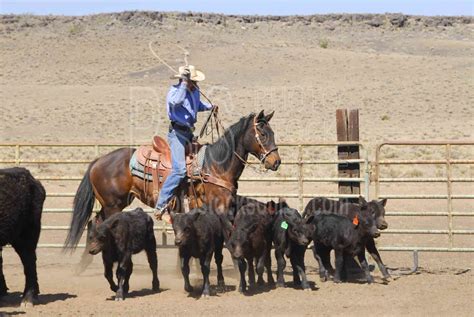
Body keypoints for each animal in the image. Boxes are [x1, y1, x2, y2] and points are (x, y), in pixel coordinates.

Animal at [63, 110, 278, 266]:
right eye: (263, 134)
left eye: (273, 133)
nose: (276, 162)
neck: (215, 166)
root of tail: (97, 161)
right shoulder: (220, 209)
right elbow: (229, 236)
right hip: (113, 205)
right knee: (101, 224)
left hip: (115, 203)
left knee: (95, 221)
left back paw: (84, 262)